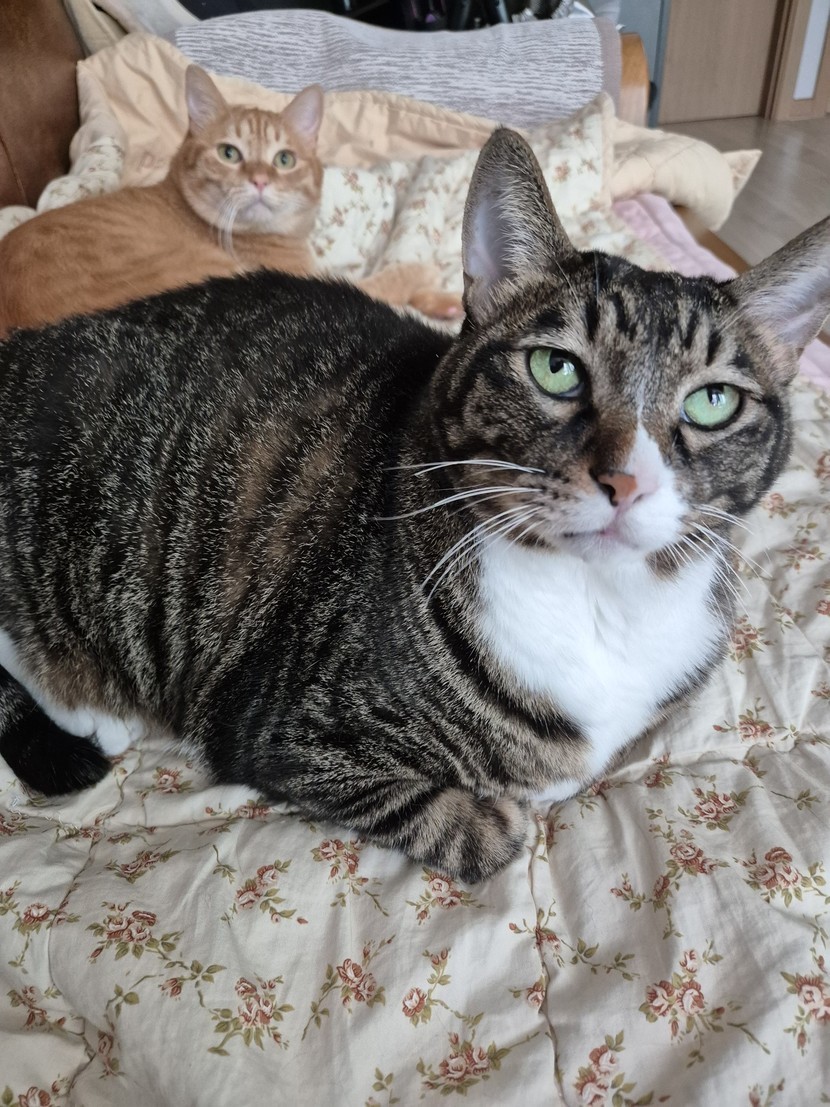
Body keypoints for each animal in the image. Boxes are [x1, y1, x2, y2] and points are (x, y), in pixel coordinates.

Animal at [0, 65, 460, 337]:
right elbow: (383, 282)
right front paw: (426, 277)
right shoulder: (325, 282)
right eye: (229, 153)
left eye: (284, 159)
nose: (259, 180)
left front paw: (446, 302)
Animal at [0, 128, 828, 883]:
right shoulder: (286, 731)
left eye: (713, 401)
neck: (599, 603)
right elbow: (469, 825)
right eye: (555, 369)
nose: (626, 482)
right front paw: (496, 817)